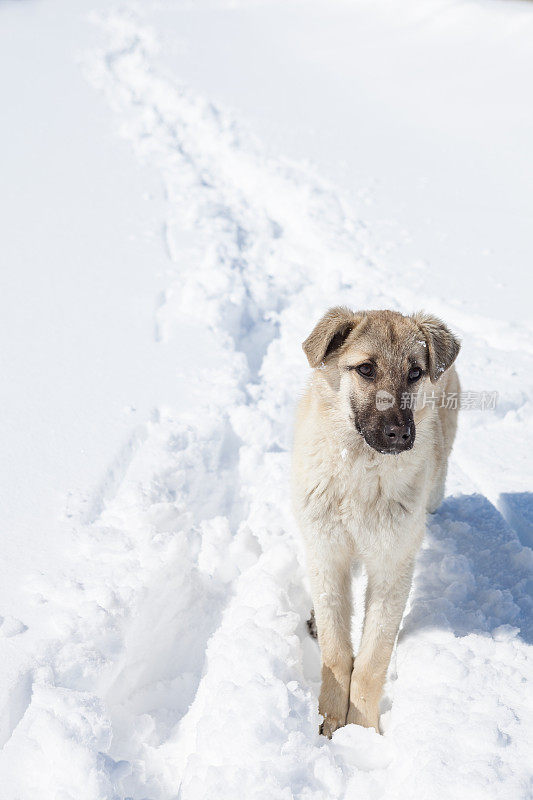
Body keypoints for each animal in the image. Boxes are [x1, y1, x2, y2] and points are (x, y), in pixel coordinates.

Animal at [288, 306, 460, 736]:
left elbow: (371, 661)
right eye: (366, 369)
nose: (400, 434)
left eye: (415, 372)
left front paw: (362, 731)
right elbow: (336, 653)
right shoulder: (327, 553)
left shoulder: (392, 567)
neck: (359, 478)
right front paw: (330, 721)